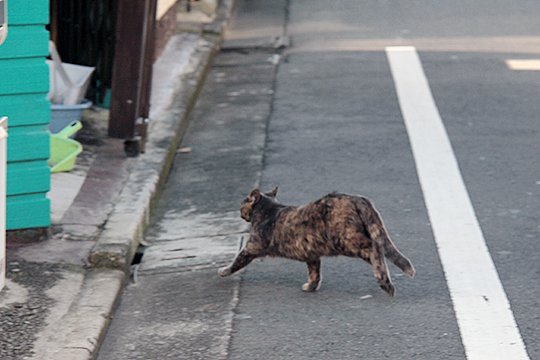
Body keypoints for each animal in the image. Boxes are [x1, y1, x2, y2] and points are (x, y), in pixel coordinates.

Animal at [217, 188, 416, 296]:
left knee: (375, 248)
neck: (270, 210)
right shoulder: (311, 255)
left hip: (348, 241)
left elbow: (237, 261)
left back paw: (384, 282)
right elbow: (315, 273)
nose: (239, 210)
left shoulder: (251, 247)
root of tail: (357, 198)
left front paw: (223, 270)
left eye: (243, 201)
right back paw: (386, 282)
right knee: (379, 252)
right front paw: (311, 286)